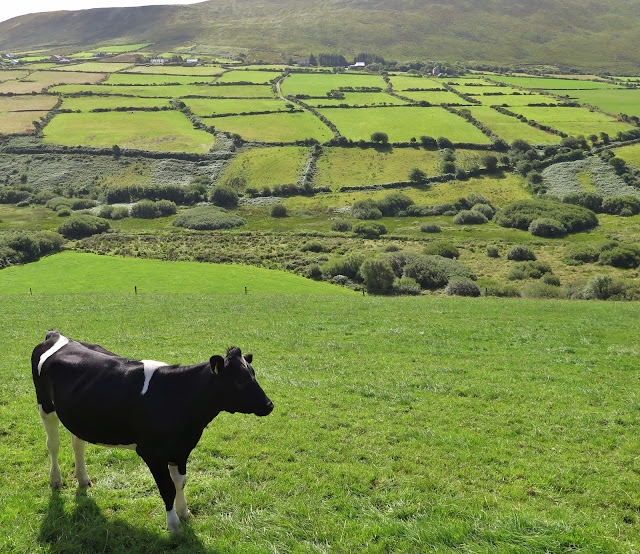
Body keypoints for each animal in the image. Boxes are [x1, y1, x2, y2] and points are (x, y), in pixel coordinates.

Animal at [32, 328, 272, 532]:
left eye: (253, 375)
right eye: (239, 381)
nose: (269, 405)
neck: (178, 397)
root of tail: (56, 335)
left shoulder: (181, 449)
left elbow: (180, 483)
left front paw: (185, 513)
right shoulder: (152, 453)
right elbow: (166, 488)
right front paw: (173, 525)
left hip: (78, 415)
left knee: (78, 443)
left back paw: (83, 479)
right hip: (45, 406)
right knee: (53, 445)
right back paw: (56, 480)